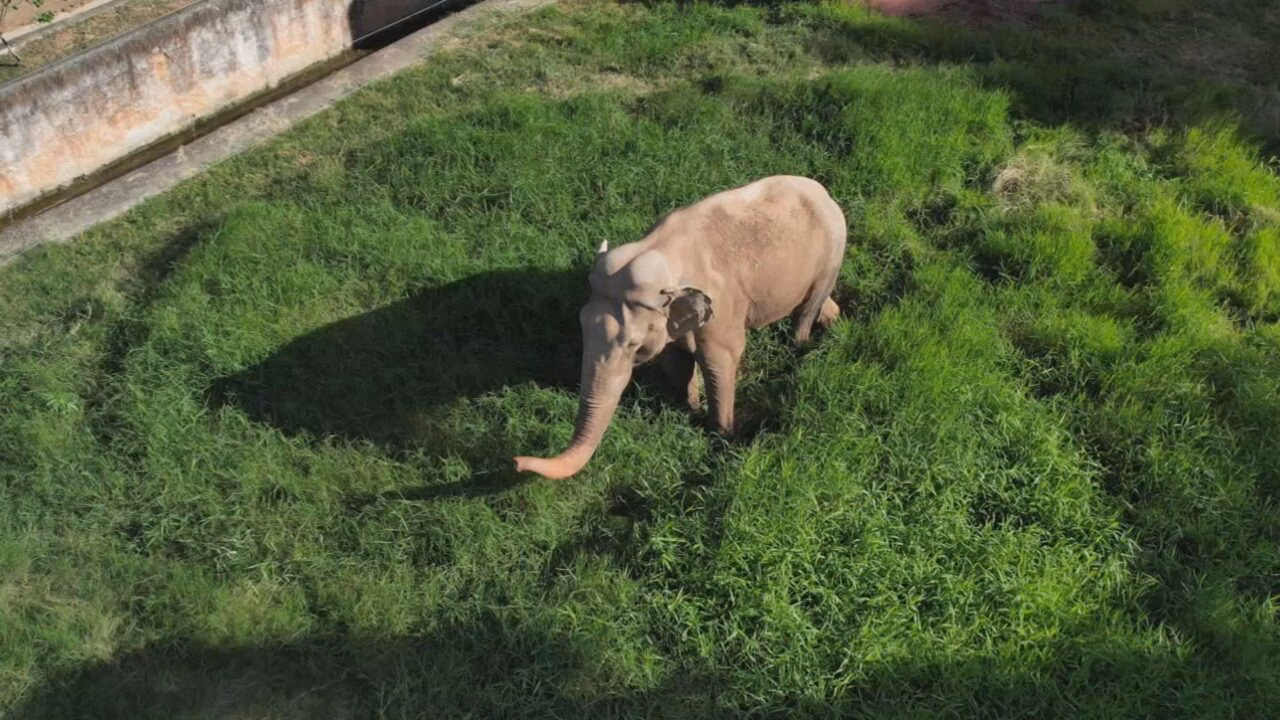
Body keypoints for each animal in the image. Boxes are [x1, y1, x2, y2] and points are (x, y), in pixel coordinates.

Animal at [513, 175, 848, 480]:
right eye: (581, 325)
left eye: (634, 346)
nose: (515, 461)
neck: (662, 252)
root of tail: (822, 190)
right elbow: (676, 361)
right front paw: (691, 410)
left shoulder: (721, 307)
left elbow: (719, 360)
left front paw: (721, 436)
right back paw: (834, 321)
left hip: (832, 252)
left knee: (806, 310)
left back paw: (801, 348)